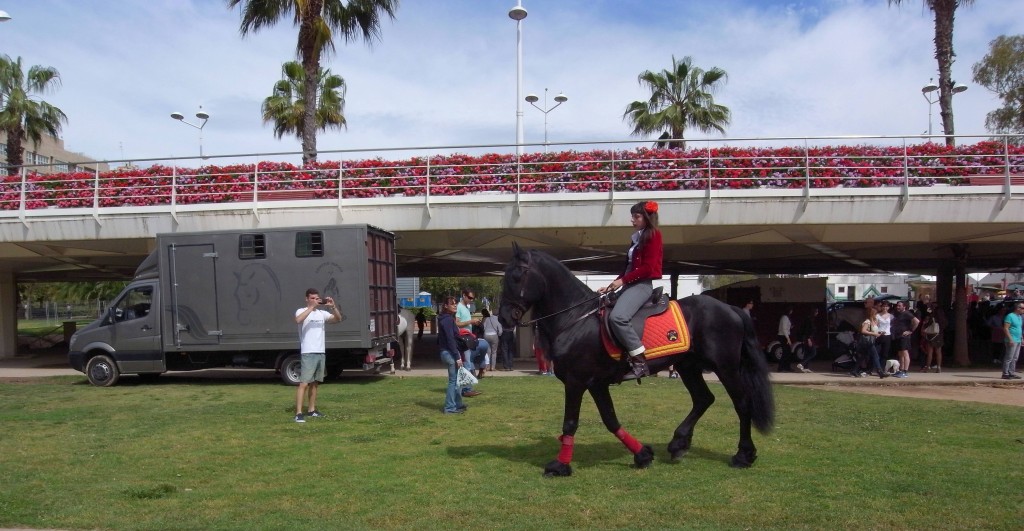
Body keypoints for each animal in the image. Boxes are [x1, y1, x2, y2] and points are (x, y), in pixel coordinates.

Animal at [497, 245, 774, 478]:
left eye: (516, 277)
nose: (503, 319)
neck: (577, 318)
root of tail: (731, 309)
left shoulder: (576, 383)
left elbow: (570, 423)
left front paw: (559, 465)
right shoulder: (596, 384)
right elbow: (611, 420)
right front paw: (642, 455)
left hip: (725, 368)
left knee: (742, 404)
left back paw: (743, 455)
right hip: (688, 366)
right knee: (703, 399)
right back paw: (678, 444)